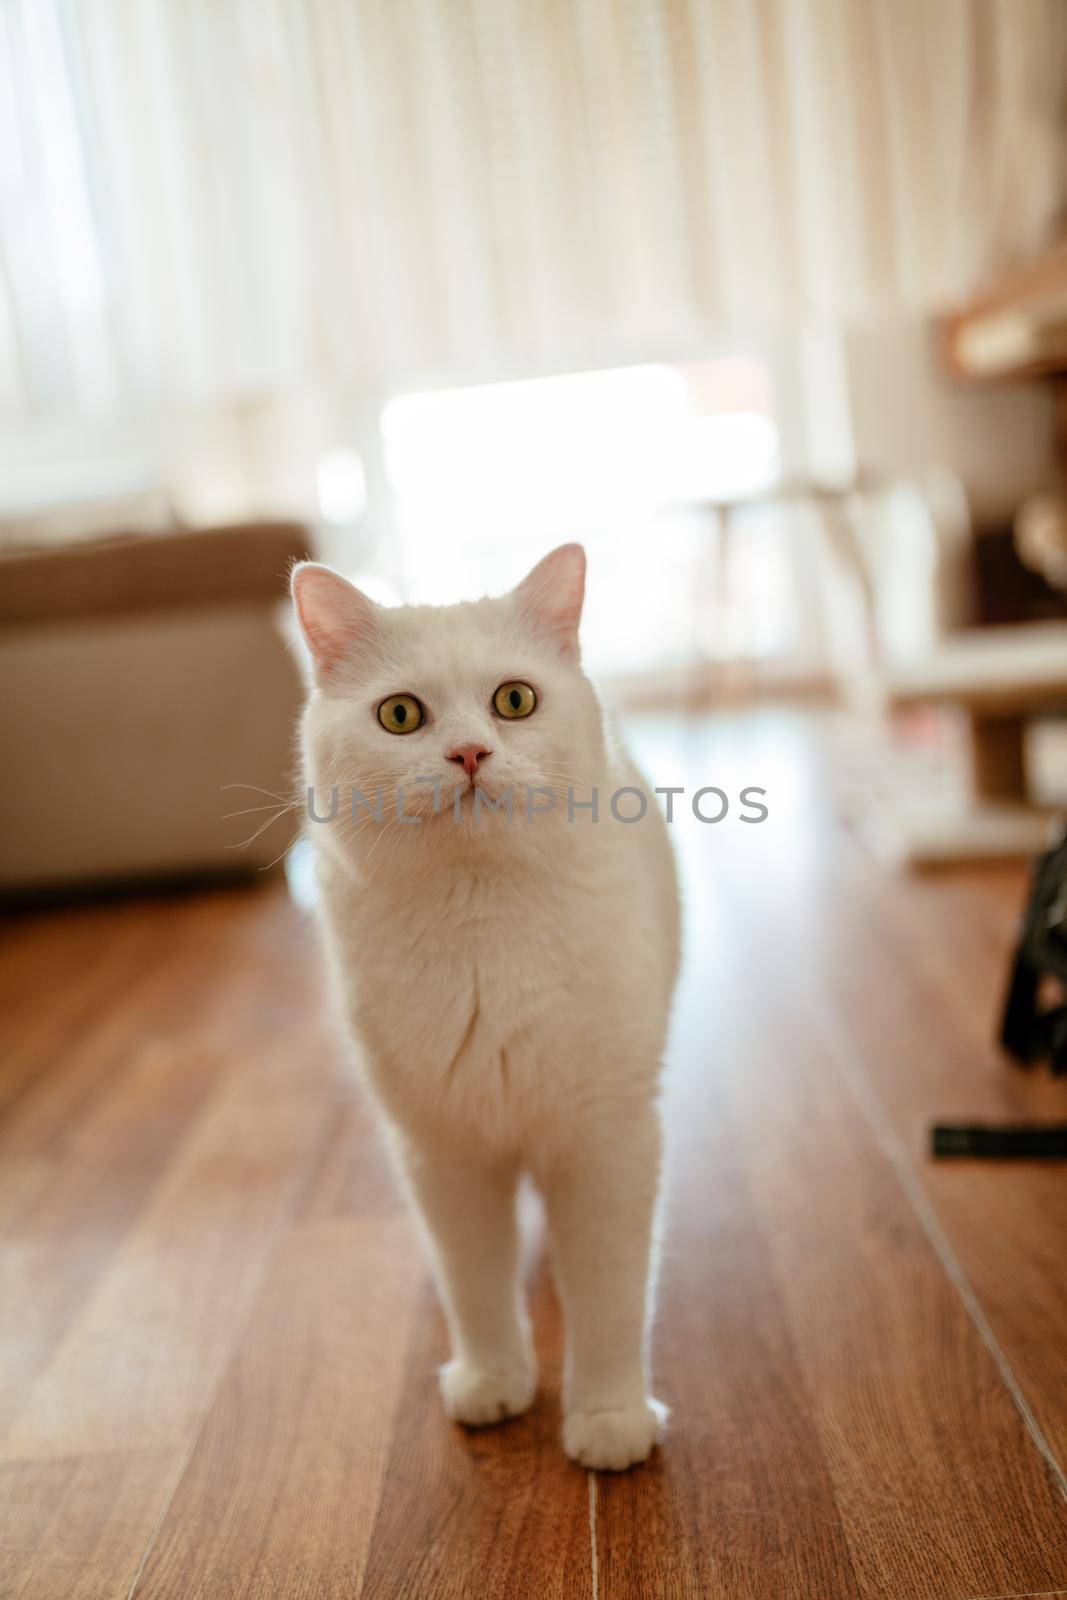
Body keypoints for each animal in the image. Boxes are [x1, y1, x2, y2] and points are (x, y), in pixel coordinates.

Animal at [287, 544, 681, 1465]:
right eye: (400, 715)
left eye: (514, 701)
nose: (469, 753)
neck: (479, 931)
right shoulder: (444, 1151)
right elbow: (473, 1280)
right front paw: (493, 1381)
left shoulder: (608, 1139)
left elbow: (609, 1294)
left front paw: (608, 1418)